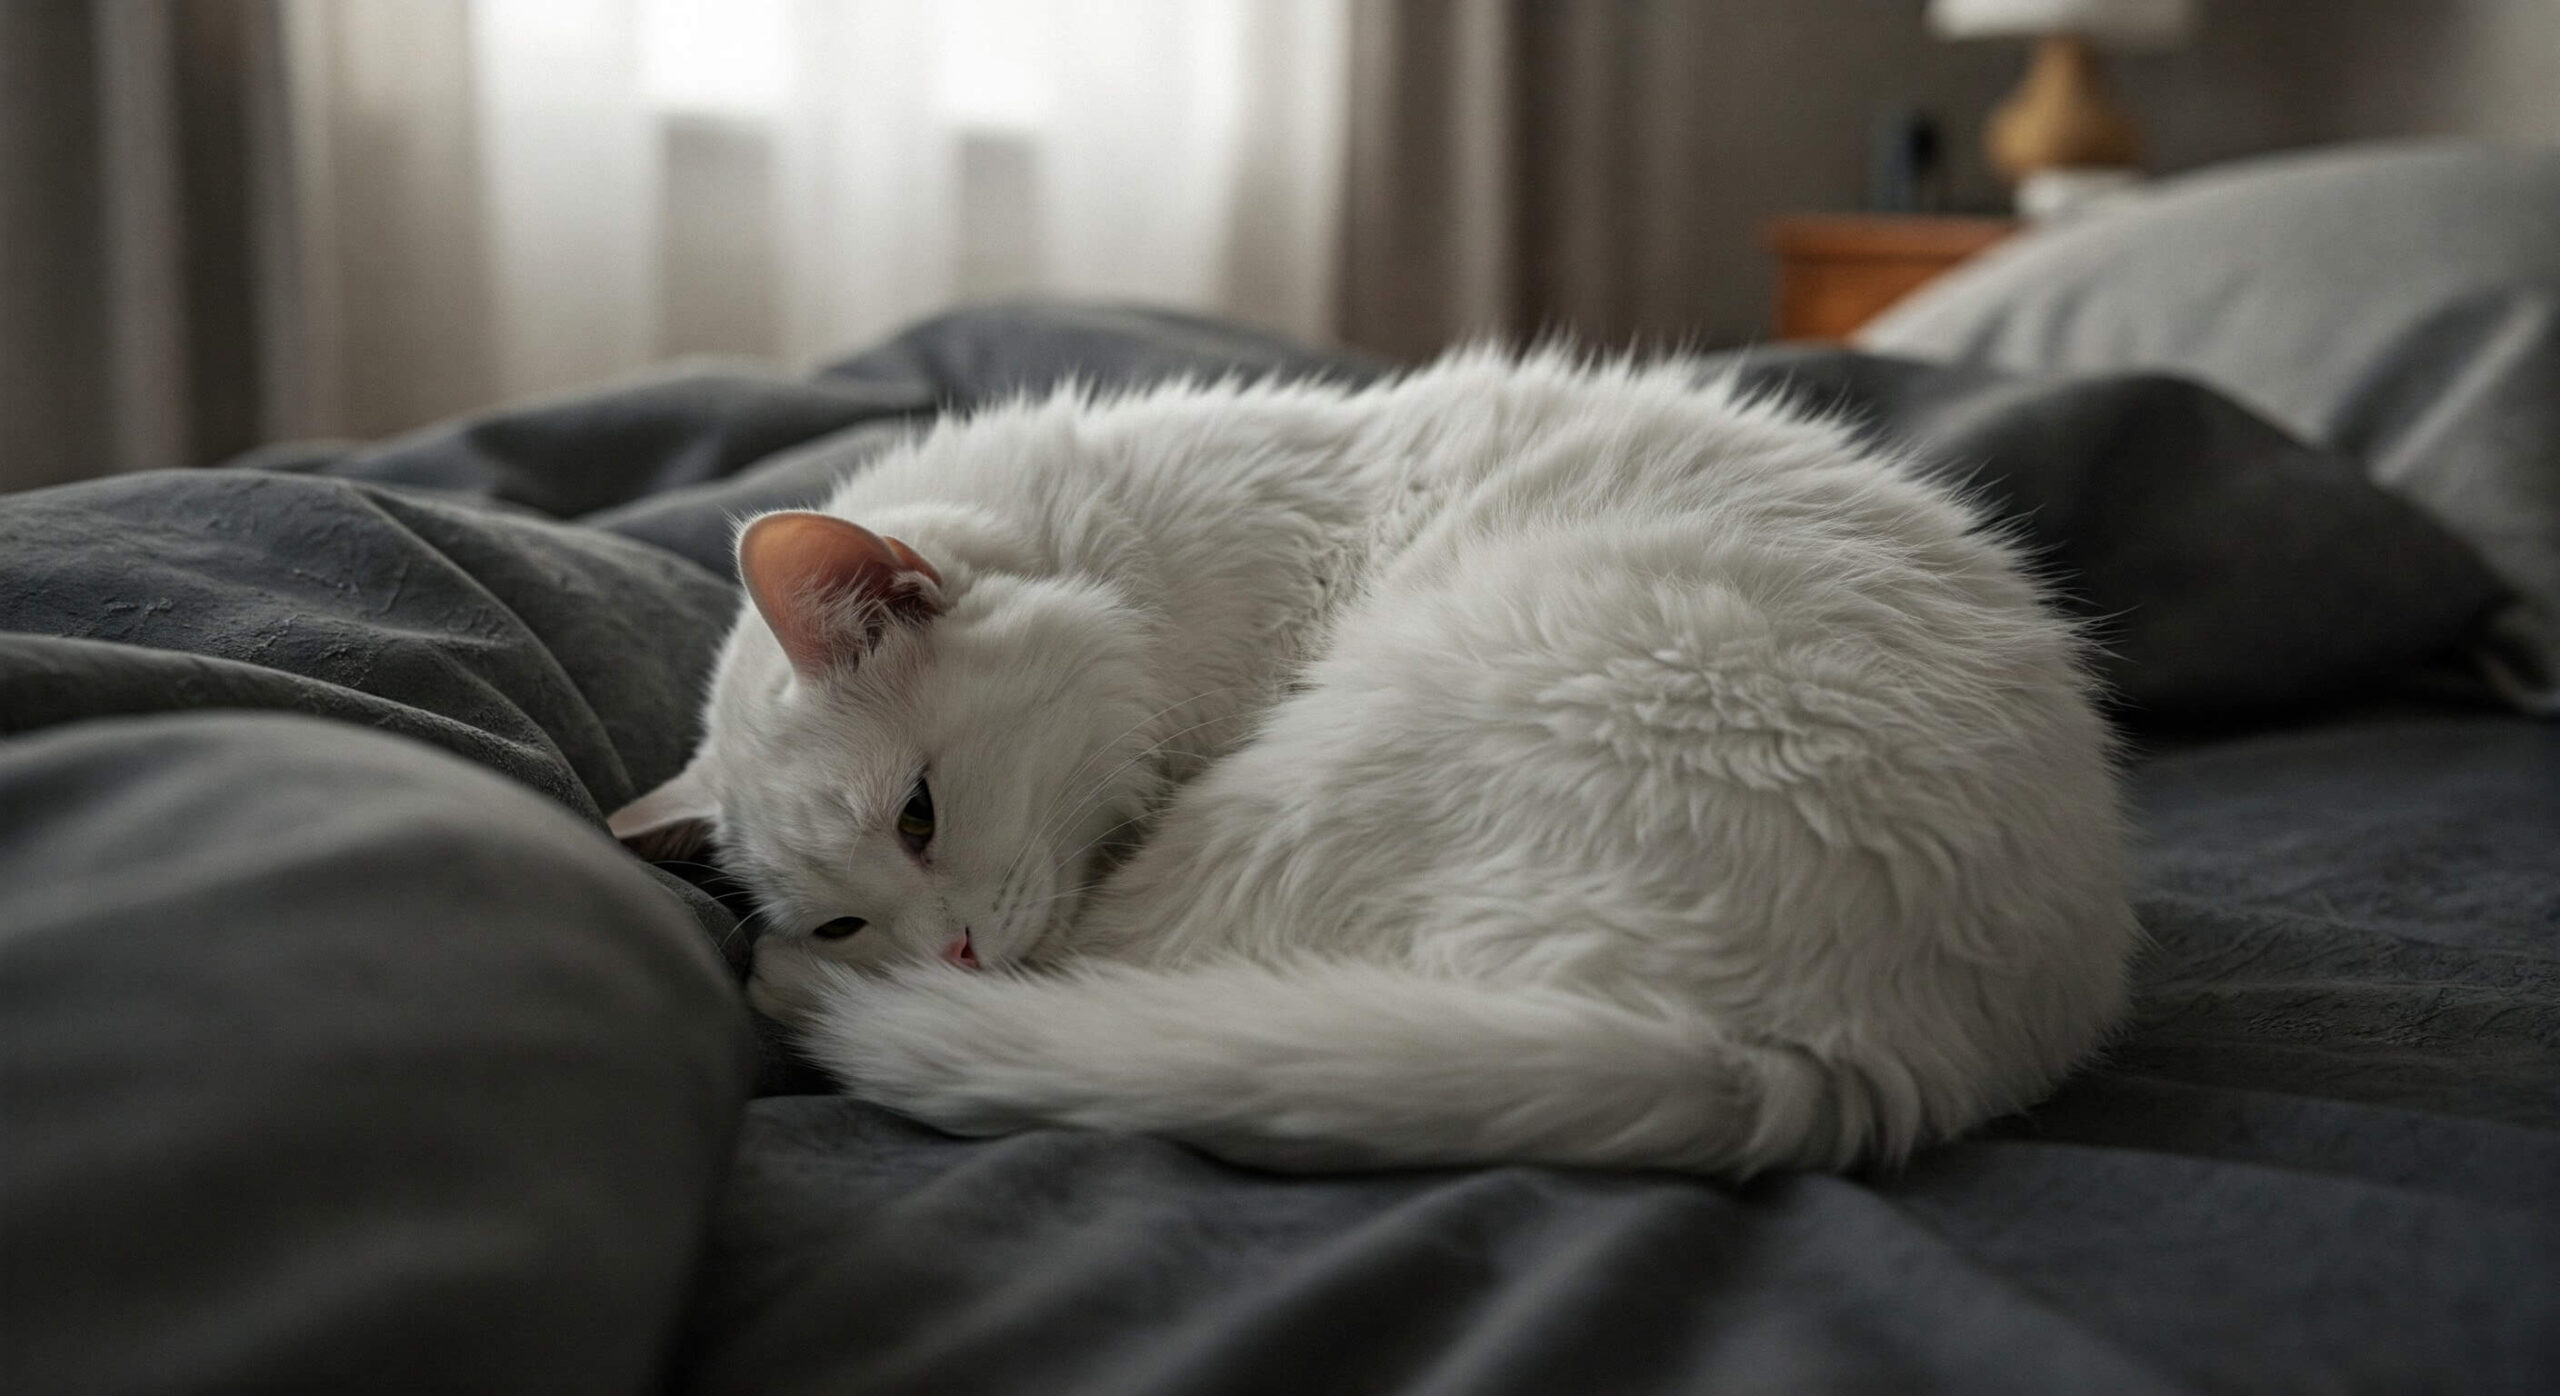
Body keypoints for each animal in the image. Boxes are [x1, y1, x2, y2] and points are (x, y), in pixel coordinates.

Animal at [614, 345, 2140, 1162]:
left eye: (920, 814)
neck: (1148, 556)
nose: (955, 957)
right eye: (849, 912)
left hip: (1315, 784)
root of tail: (1826, 1052)